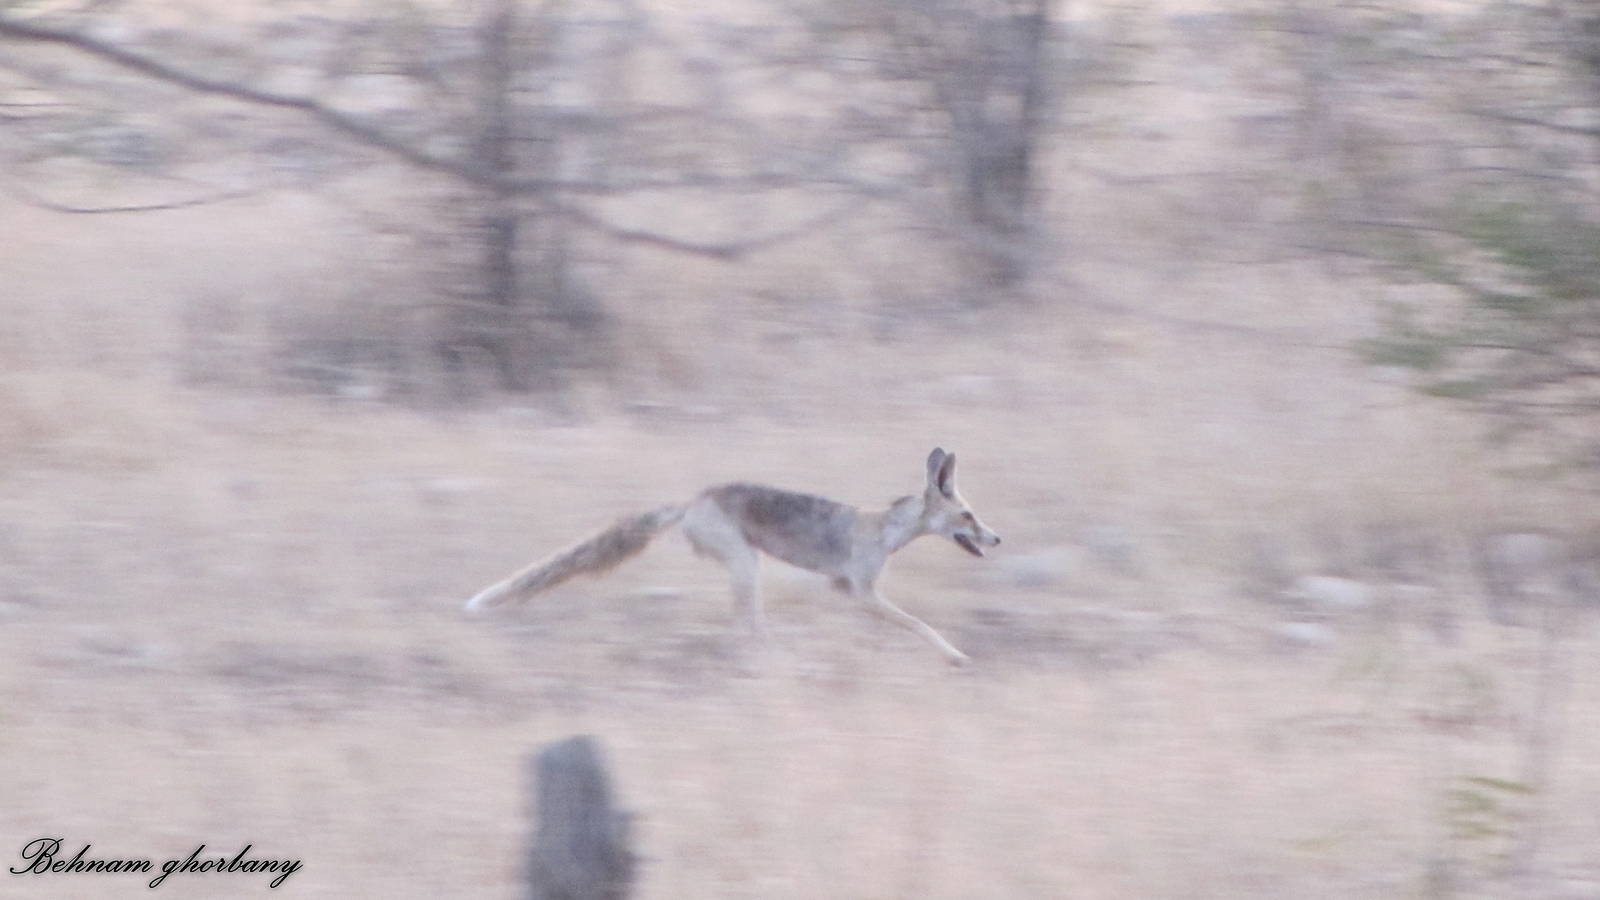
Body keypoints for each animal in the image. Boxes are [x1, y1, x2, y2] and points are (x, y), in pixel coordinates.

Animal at [465, 447, 1001, 665]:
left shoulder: (844, 591)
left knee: (744, 625)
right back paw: (771, 659)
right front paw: (955, 657)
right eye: (968, 516)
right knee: (747, 627)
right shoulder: (860, 590)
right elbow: (918, 625)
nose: (996, 538)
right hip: (746, 564)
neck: (886, 530)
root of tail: (689, 502)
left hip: (745, 567)